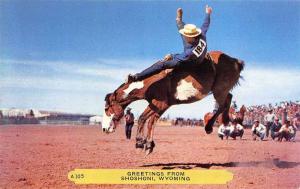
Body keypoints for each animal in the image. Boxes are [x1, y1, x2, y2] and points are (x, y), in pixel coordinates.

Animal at [102, 50, 244, 155]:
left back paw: (210, 126)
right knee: (228, 99)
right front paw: (149, 144)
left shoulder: (159, 103)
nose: (104, 129)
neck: (153, 81)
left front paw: (139, 143)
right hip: (220, 91)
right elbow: (151, 121)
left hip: (219, 90)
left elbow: (143, 118)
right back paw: (223, 121)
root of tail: (236, 61)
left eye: (106, 108)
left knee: (223, 104)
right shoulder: (163, 105)